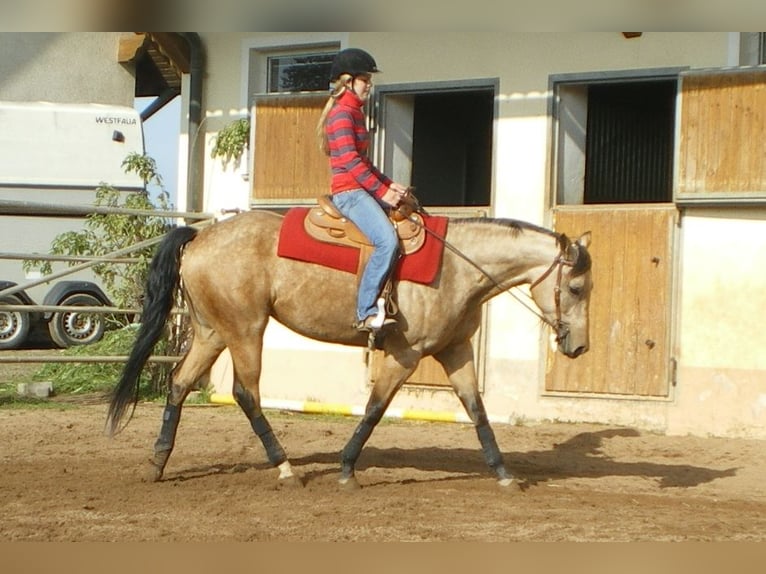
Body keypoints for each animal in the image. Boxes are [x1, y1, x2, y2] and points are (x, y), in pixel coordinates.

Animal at [105, 209, 592, 492]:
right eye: (576, 287)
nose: (580, 345)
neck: (456, 266)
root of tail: (198, 238)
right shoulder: (407, 354)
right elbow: (375, 408)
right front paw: (346, 469)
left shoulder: (455, 350)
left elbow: (477, 411)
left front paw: (504, 473)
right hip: (245, 329)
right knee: (246, 393)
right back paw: (285, 468)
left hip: (212, 332)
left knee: (180, 383)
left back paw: (158, 463)